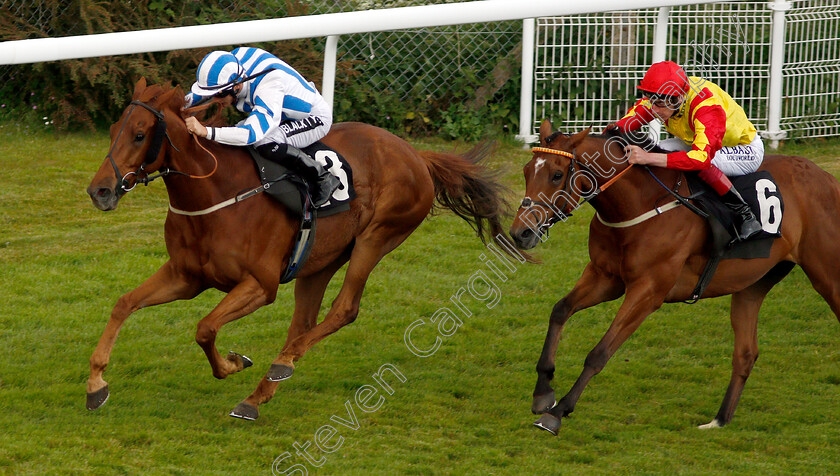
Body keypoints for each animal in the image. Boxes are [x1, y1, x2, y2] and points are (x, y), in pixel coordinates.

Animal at [88, 79, 516, 420]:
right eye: (112, 130)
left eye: (140, 134)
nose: (100, 191)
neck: (216, 195)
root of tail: (417, 156)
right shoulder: (185, 276)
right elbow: (124, 303)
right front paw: (96, 385)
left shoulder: (260, 284)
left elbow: (205, 327)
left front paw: (233, 363)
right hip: (319, 260)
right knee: (303, 324)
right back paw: (260, 393)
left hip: (377, 237)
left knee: (344, 310)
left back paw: (278, 368)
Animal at [506, 120, 840, 436]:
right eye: (526, 172)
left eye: (556, 175)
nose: (521, 233)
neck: (640, 202)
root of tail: (827, 178)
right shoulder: (605, 277)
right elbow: (560, 310)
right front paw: (543, 392)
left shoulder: (648, 291)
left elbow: (600, 352)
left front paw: (558, 412)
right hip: (753, 285)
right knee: (746, 354)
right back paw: (718, 420)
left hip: (827, 274)